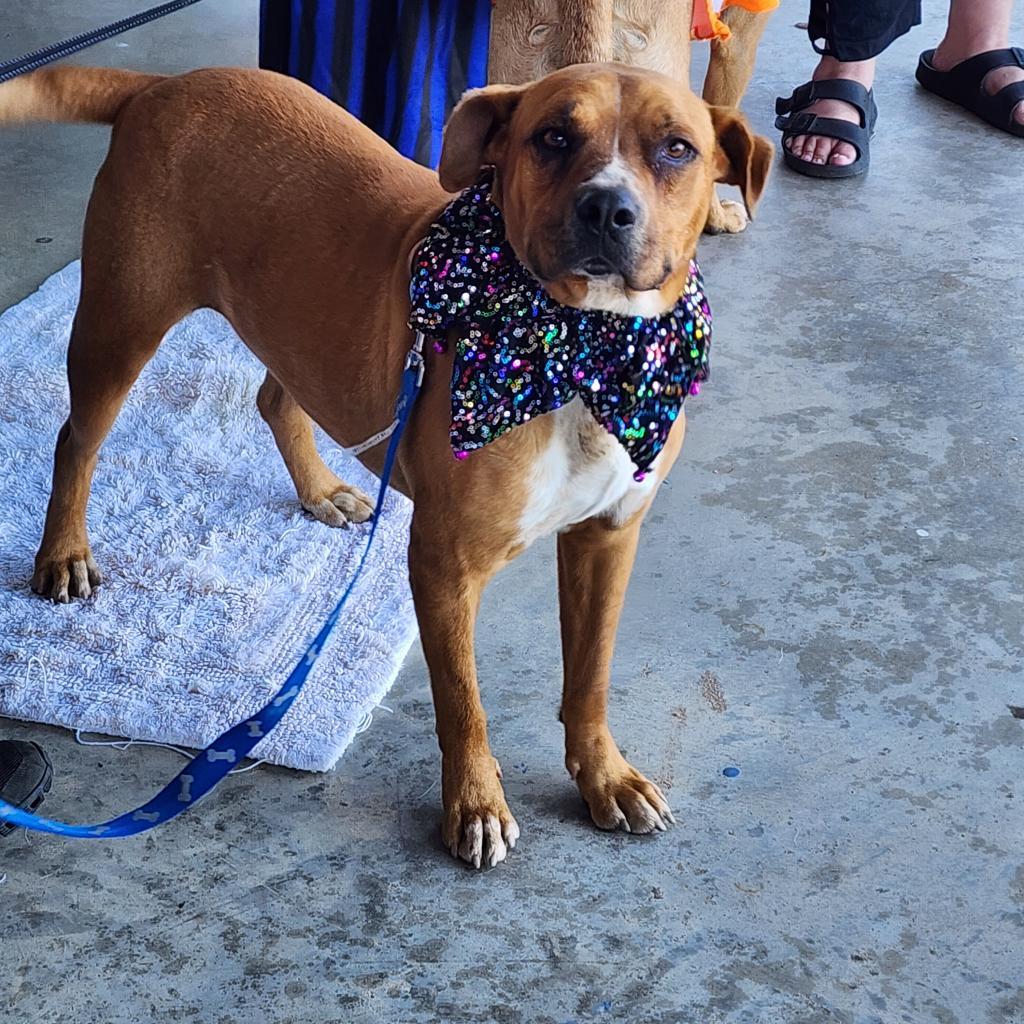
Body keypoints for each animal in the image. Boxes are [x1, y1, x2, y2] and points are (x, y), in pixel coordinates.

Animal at [0, 61, 770, 864]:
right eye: (553, 136)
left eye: (677, 149)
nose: (606, 208)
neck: (580, 348)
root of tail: (163, 84)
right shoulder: (443, 564)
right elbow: (463, 701)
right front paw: (475, 802)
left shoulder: (609, 538)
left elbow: (590, 675)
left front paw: (604, 775)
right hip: (120, 321)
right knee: (76, 440)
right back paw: (64, 552)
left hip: (293, 323)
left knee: (276, 400)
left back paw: (321, 491)